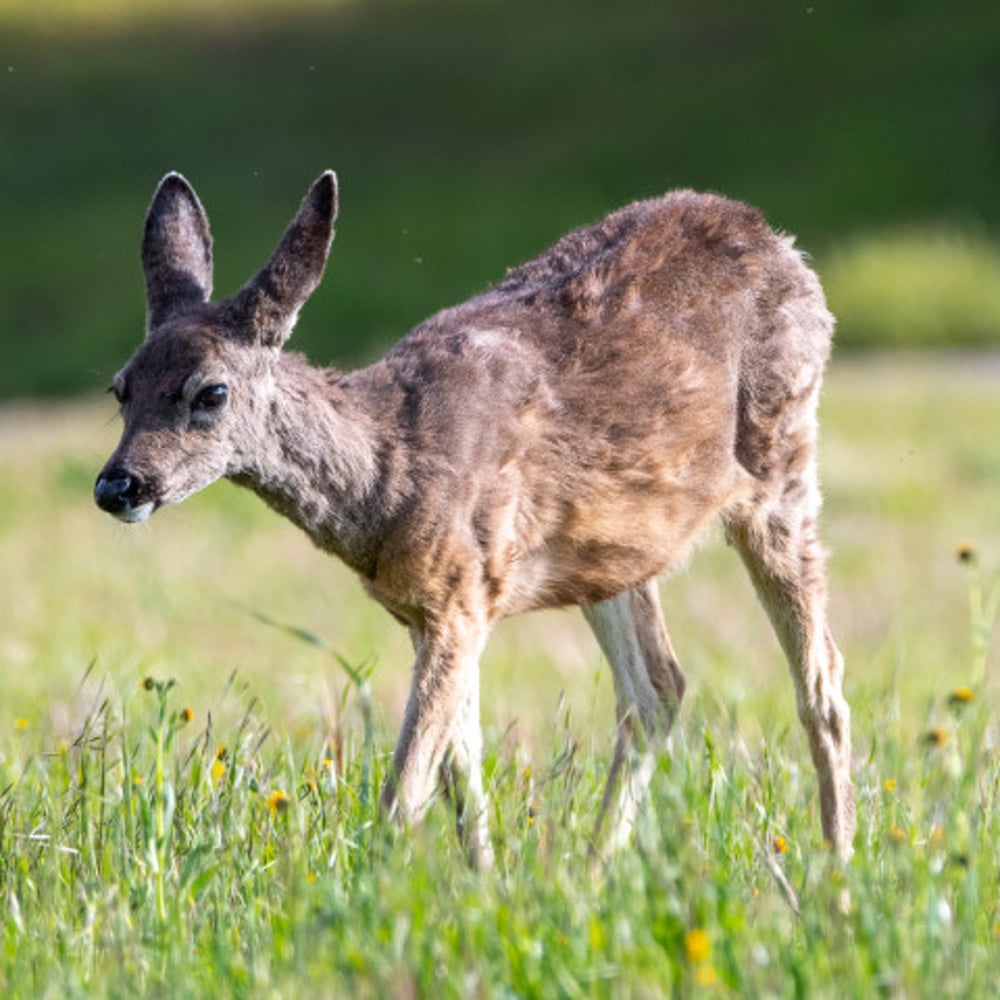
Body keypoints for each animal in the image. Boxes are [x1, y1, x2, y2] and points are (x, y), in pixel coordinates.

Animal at [95, 170, 855, 868]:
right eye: (121, 387)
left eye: (211, 392)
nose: (116, 485)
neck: (389, 474)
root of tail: (777, 241)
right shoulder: (429, 611)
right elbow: (461, 779)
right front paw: (483, 887)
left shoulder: (463, 594)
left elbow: (407, 788)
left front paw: (376, 894)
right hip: (615, 550)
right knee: (658, 689)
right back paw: (593, 871)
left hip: (783, 462)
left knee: (822, 684)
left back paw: (836, 871)